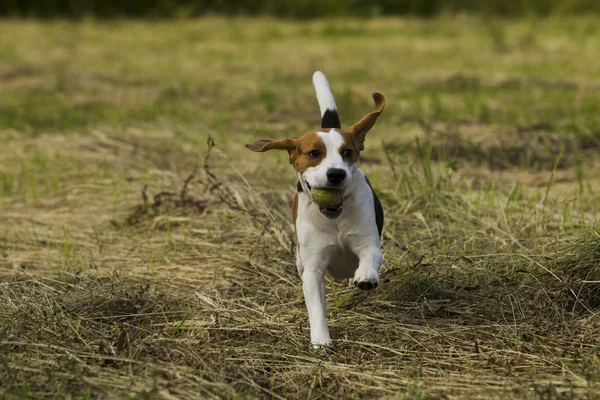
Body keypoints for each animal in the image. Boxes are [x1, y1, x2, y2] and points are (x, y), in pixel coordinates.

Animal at [247, 72, 384, 346]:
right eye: (313, 153)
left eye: (347, 152)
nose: (336, 174)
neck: (334, 219)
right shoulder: (312, 268)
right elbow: (316, 307)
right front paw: (321, 341)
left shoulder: (368, 242)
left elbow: (369, 256)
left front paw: (366, 276)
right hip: (300, 259)